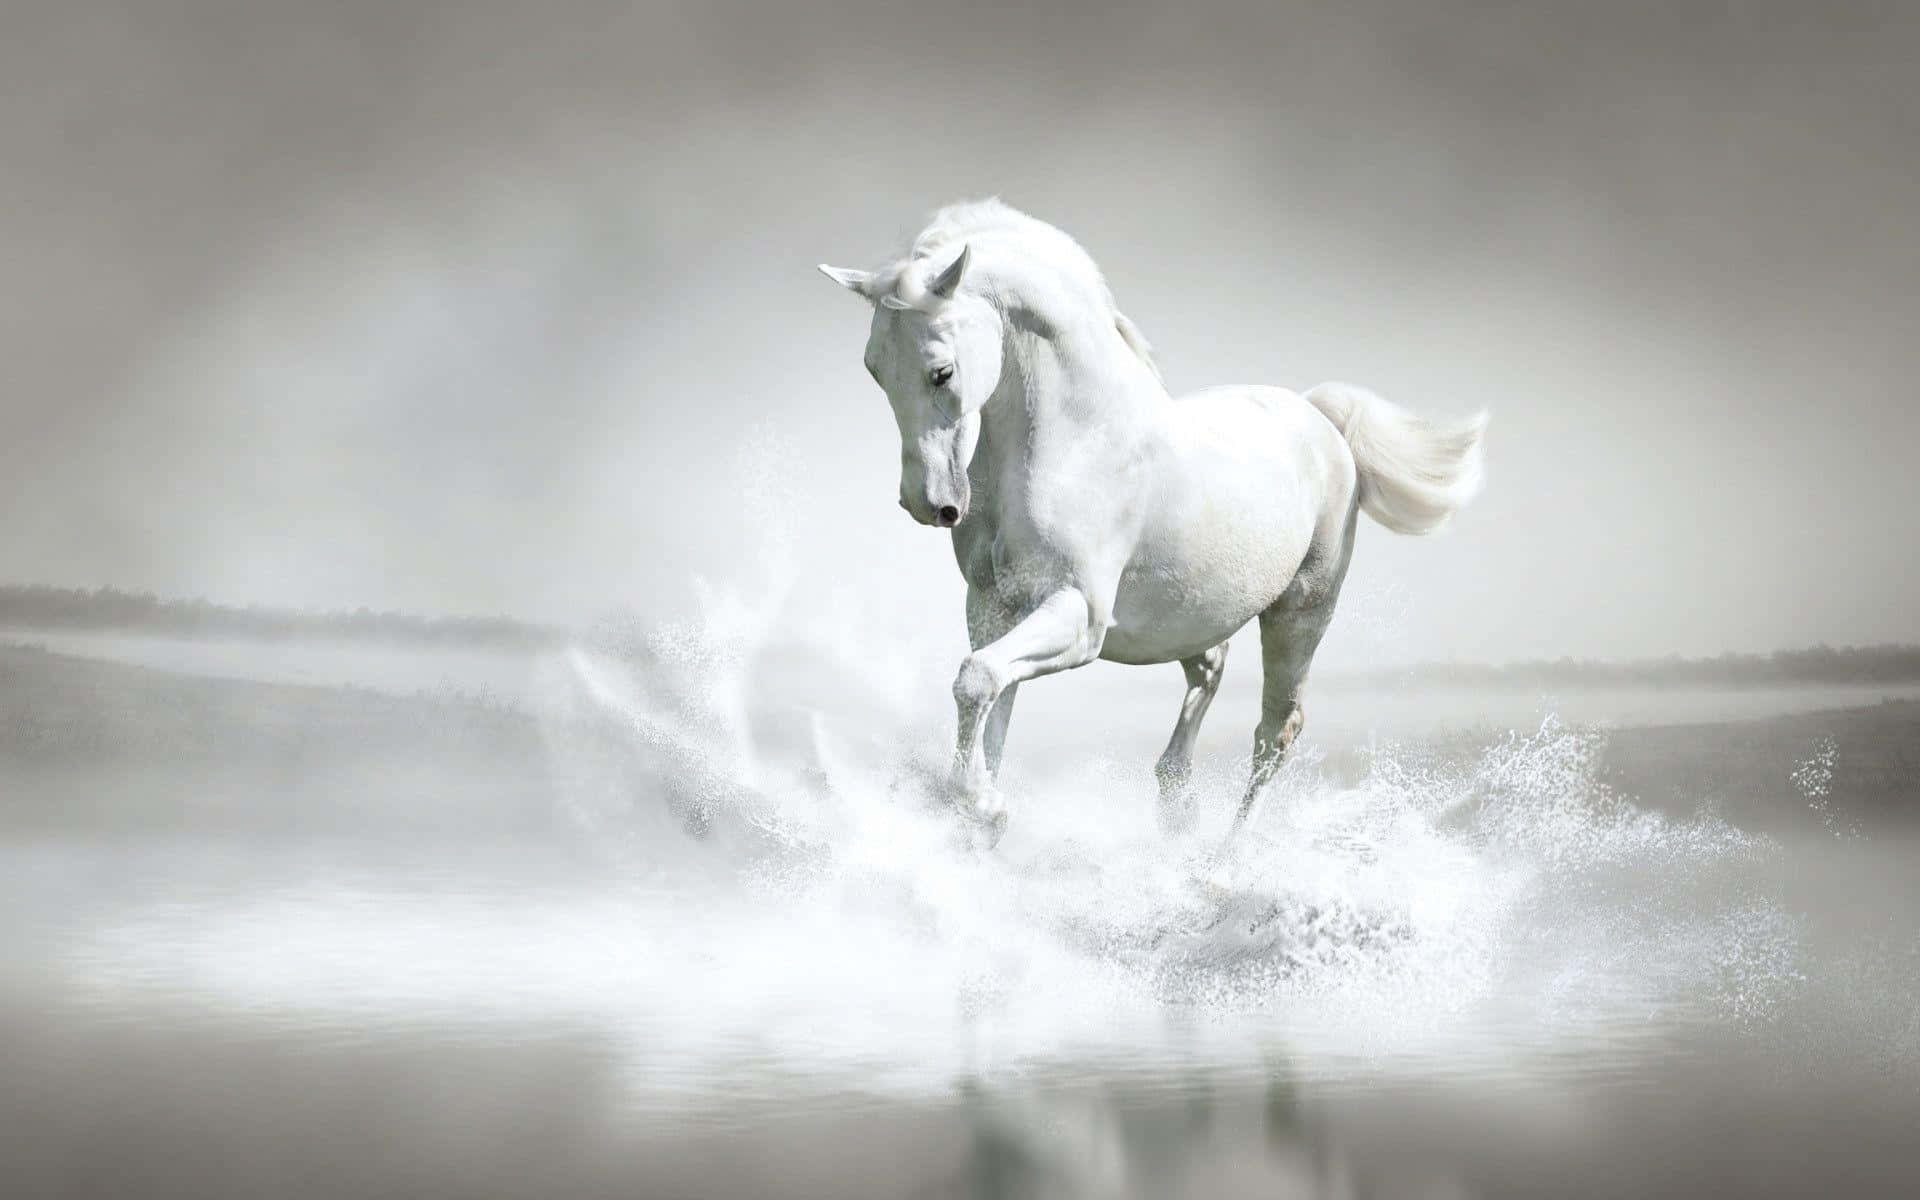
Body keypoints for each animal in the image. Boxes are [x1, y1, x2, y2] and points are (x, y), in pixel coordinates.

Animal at [818, 199, 1486, 853]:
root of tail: (1320, 418)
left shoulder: (1079, 615)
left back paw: (1226, 857)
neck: (1076, 441)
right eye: (875, 369)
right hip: (1193, 614)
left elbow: (978, 680)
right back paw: (1176, 803)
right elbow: (990, 699)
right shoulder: (992, 606)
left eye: (941, 372)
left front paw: (983, 806)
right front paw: (979, 813)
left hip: (1301, 612)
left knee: (1276, 730)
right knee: (1211, 670)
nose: (928, 504)